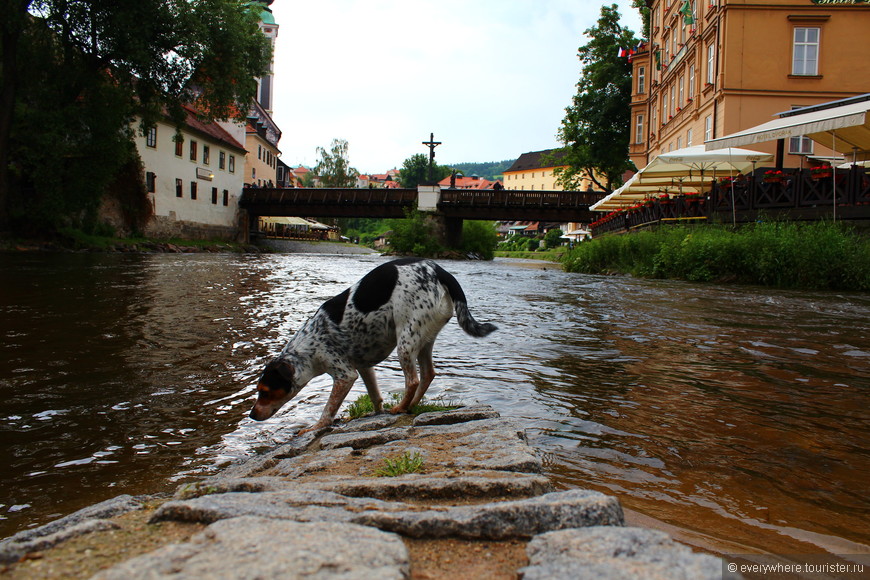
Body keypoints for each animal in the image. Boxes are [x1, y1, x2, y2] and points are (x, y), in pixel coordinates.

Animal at [250, 256, 498, 432]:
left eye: (265, 391)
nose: (251, 415)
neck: (307, 346)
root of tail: (440, 270)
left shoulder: (344, 375)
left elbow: (329, 409)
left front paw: (316, 426)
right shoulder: (363, 366)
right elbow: (374, 395)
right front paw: (375, 413)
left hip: (405, 341)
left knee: (413, 380)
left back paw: (401, 407)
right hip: (424, 338)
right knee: (428, 374)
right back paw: (411, 406)